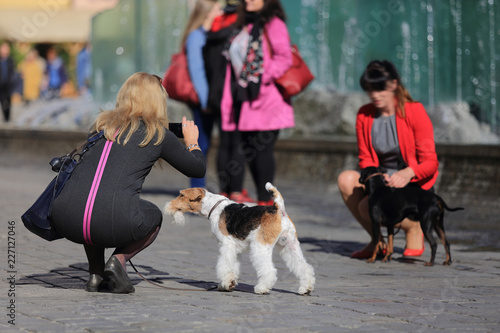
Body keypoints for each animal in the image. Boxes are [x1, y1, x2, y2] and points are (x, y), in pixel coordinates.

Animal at [164, 183, 314, 294]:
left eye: (182, 195)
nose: (167, 206)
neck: (213, 207)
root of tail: (278, 209)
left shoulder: (226, 244)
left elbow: (225, 265)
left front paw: (226, 284)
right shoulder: (235, 248)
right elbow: (233, 266)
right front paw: (229, 284)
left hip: (260, 247)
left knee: (269, 270)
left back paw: (262, 288)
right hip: (290, 245)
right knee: (304, 267)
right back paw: (305, 288)